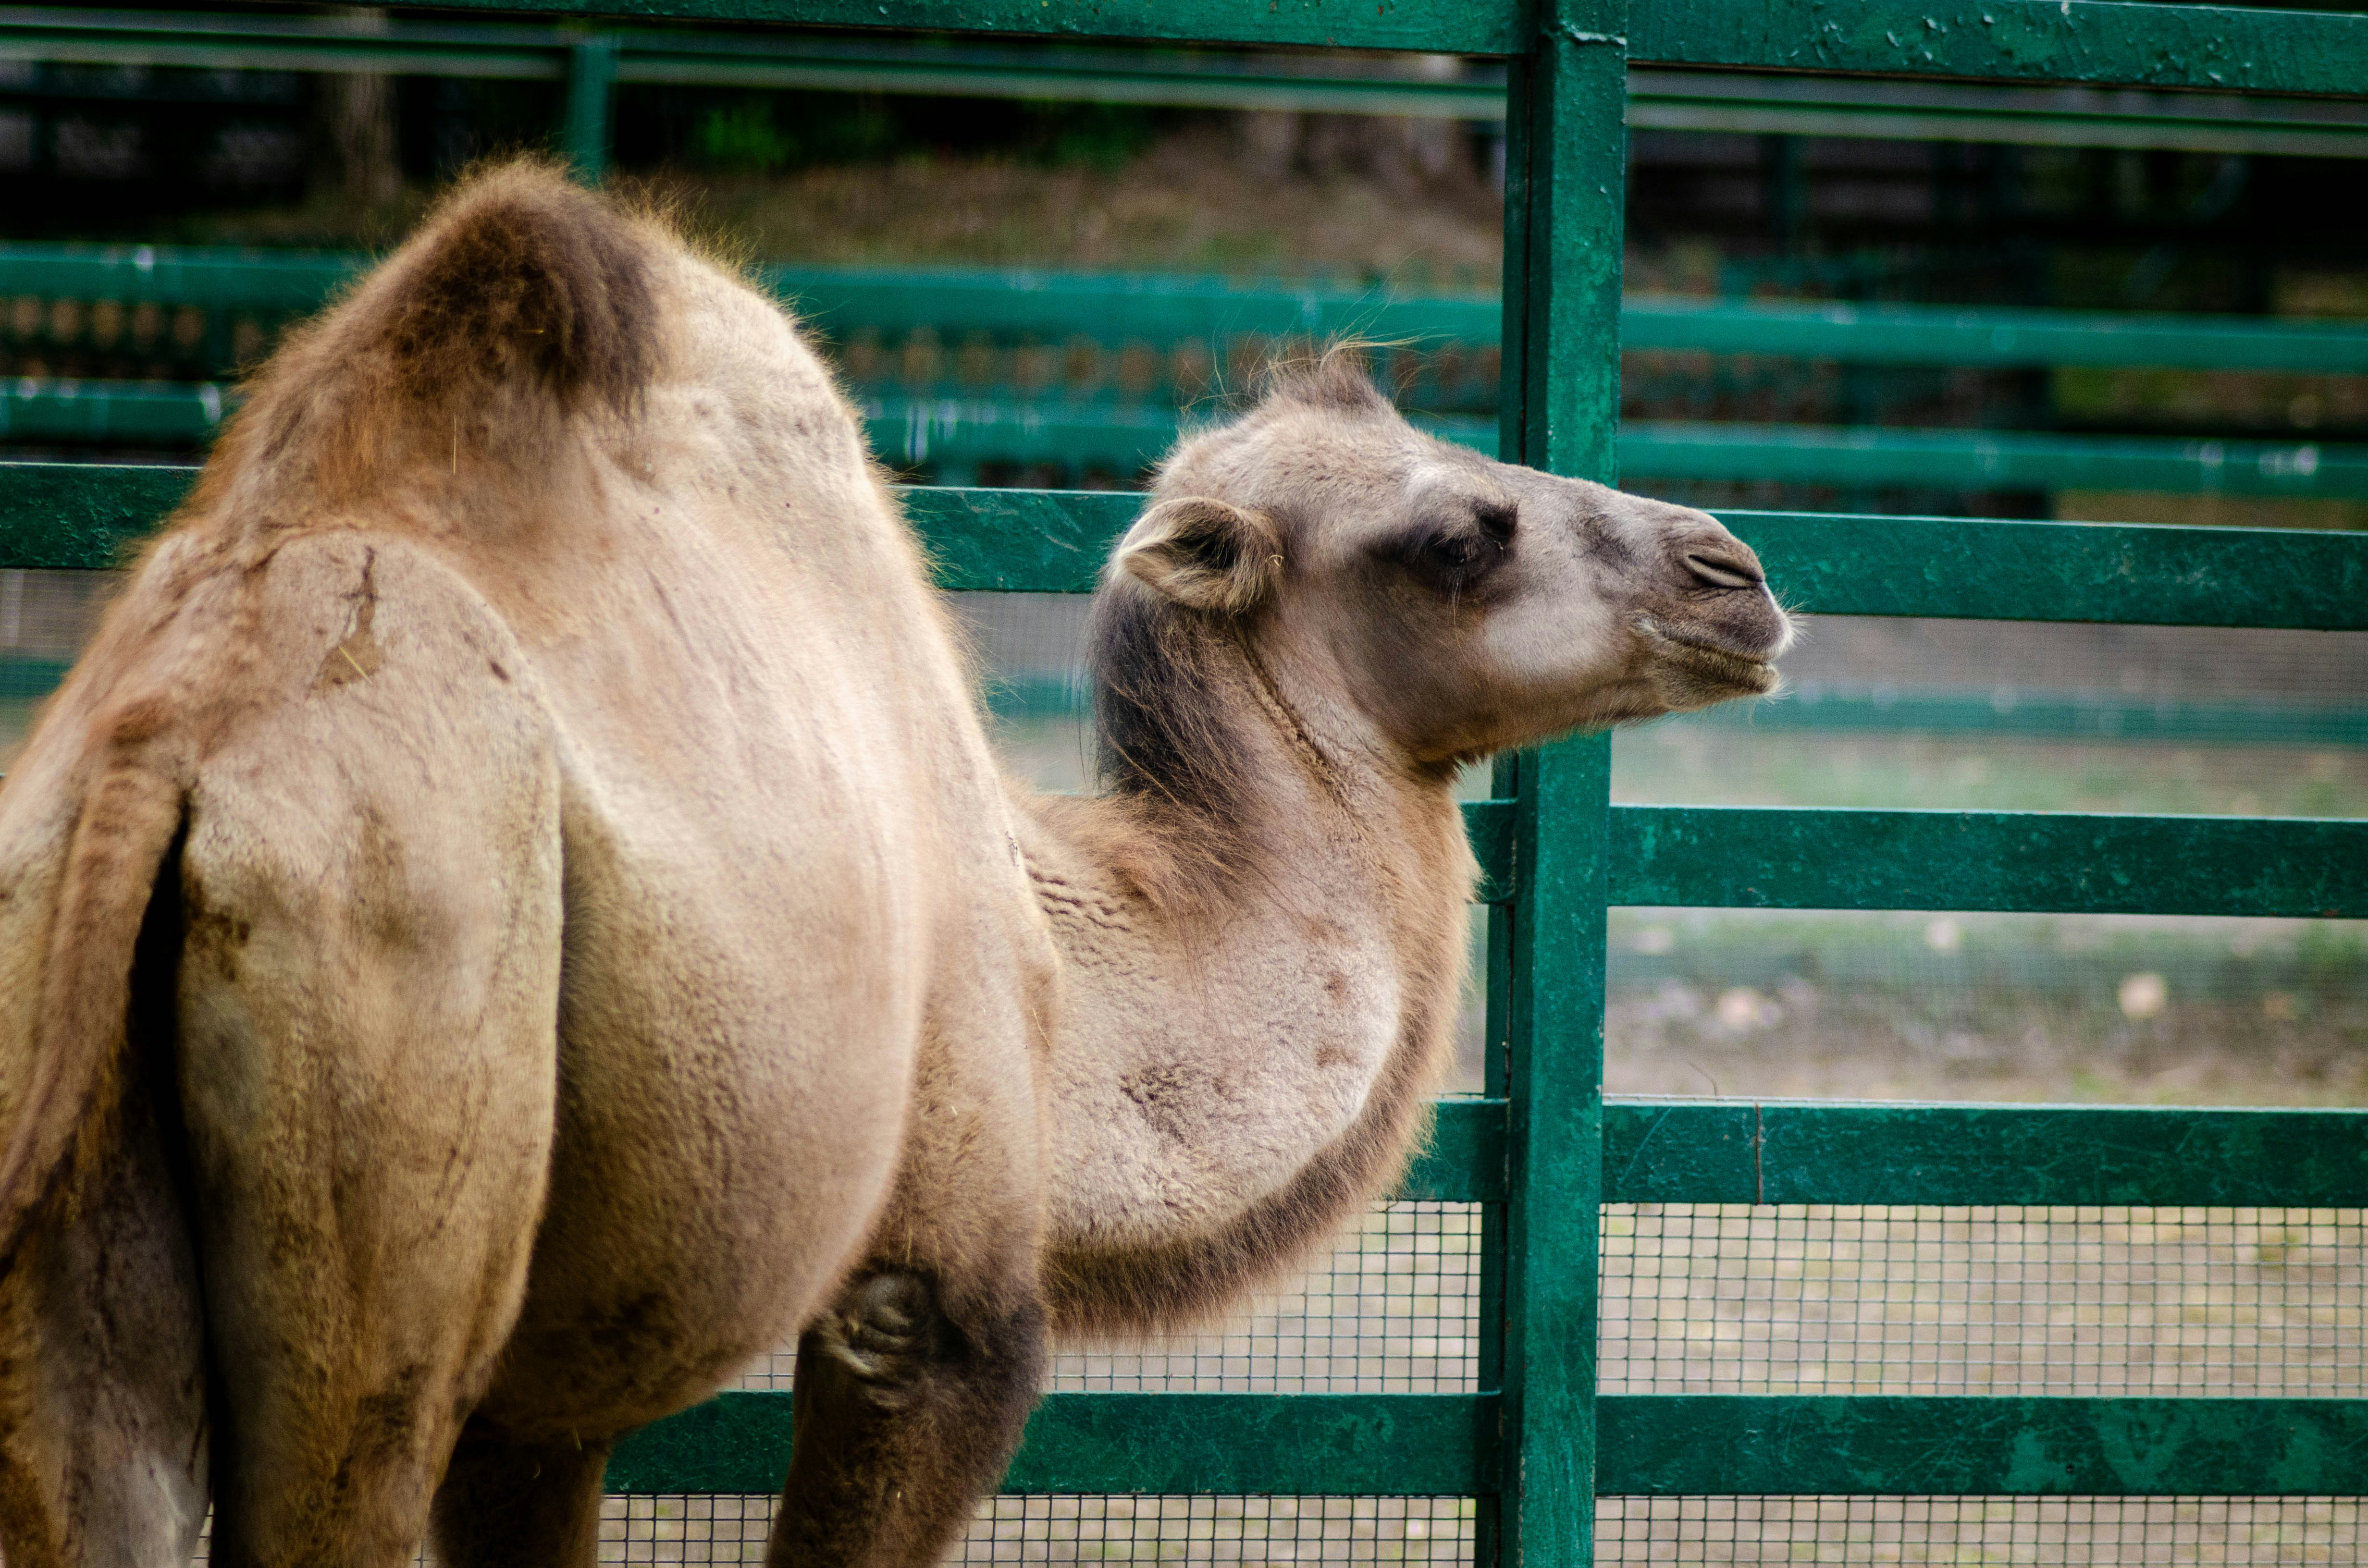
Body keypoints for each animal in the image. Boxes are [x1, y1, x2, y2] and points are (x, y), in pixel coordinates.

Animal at [0, 164, 1788, 1566]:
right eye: (1454, 535)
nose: (1737, 574)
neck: (1072, 970)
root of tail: (165, 753)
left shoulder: (544, 1396)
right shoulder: (930, 1301)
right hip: (395, 1055)